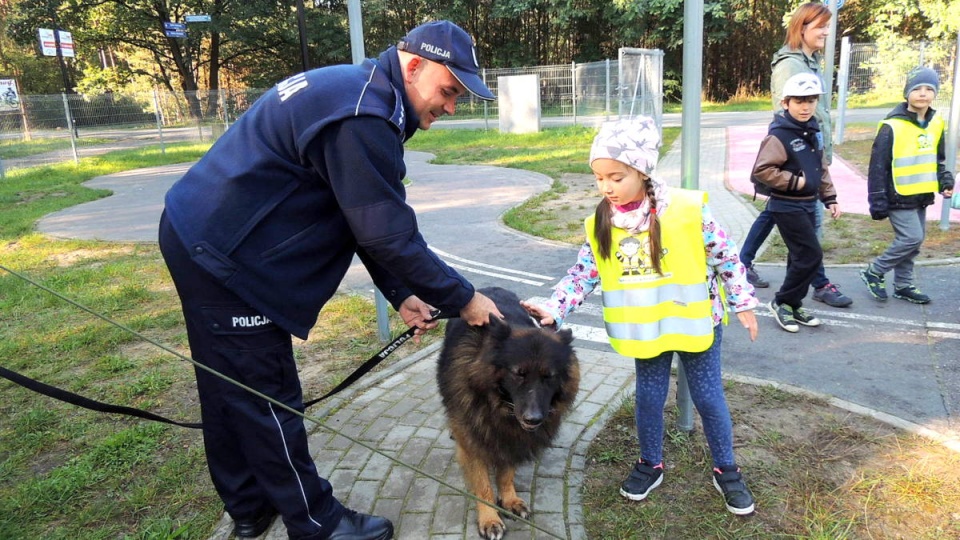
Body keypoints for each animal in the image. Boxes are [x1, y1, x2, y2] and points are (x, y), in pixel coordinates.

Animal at [436, 284, 576, 536]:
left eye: (549, 377)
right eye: (518, 374)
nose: (533, 419)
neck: (497, 404)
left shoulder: (511, 436)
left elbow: (506, 472)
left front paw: (509, 499)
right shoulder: (473, 440)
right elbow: (482, 483)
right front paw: (489, 518)